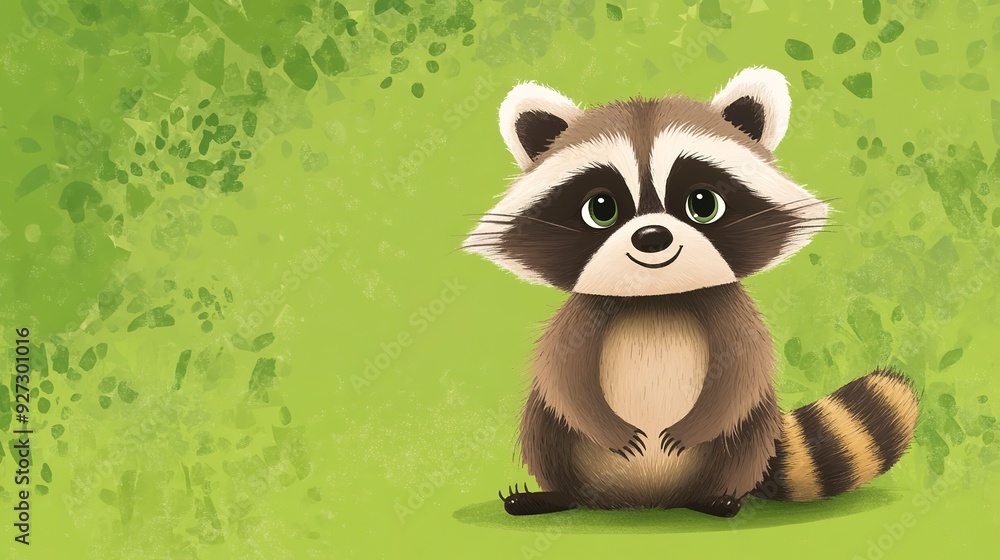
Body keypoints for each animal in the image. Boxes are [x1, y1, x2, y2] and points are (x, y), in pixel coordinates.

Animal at [463, 67, 919, 517]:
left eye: (703, 203)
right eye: (601, 209)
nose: (652, 237)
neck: (655, 299)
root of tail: (647, 502)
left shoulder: (731, 310)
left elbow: (743, 374)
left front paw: (695, 427)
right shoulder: (582, 317)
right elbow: (561, 377)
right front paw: (606, 427)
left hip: (749, 440)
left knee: (745, 430)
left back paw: (718, 498)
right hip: (556, 442)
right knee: (545, 425)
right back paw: (555, 495)